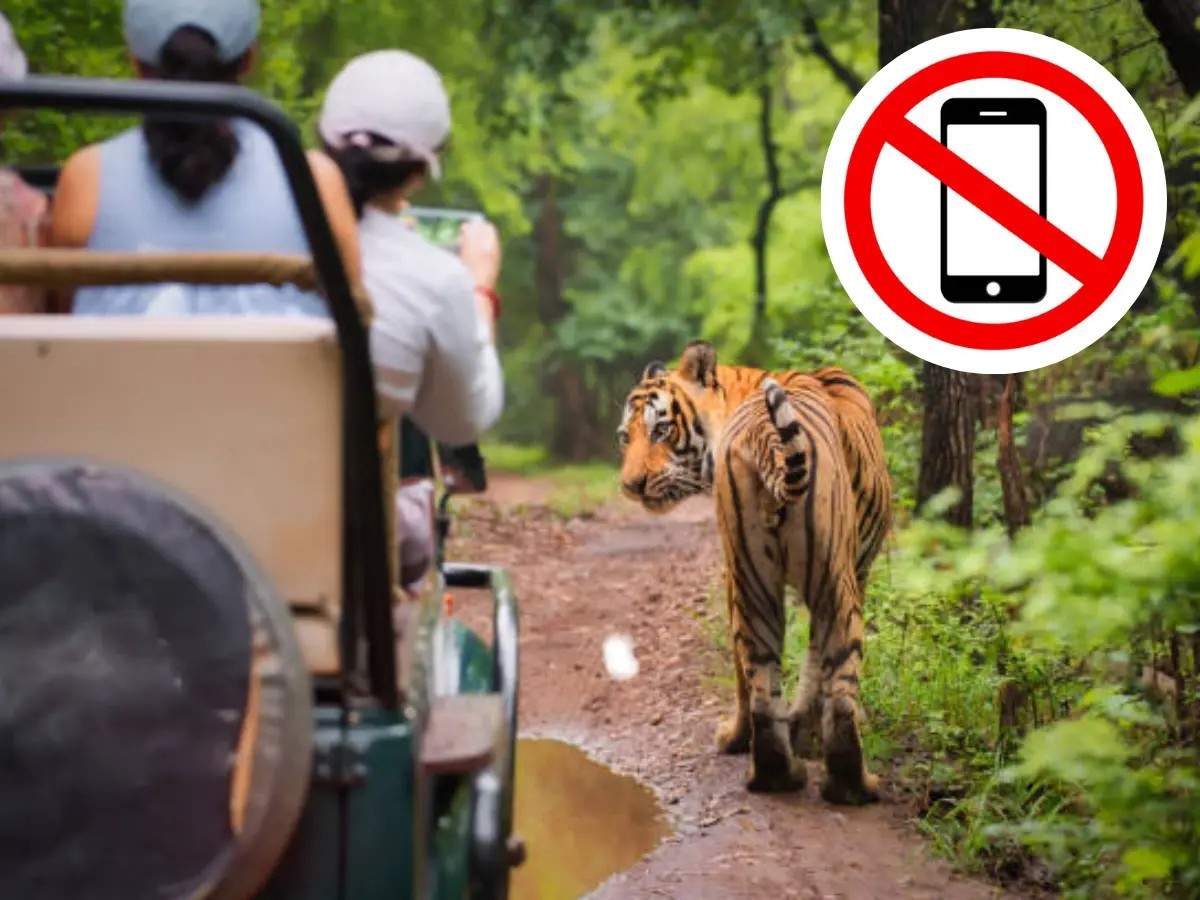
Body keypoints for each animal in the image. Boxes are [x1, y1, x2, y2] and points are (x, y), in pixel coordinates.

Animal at [617, 341, 892, 804]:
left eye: (660, 430)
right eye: (625, 436)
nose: (630, 486)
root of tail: (767, 433)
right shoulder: (857, 570)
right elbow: (816, 662)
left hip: (757, 580)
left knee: (761, 678)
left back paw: (777, 773)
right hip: (828, 583)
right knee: (834, 688)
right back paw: (846, 783)